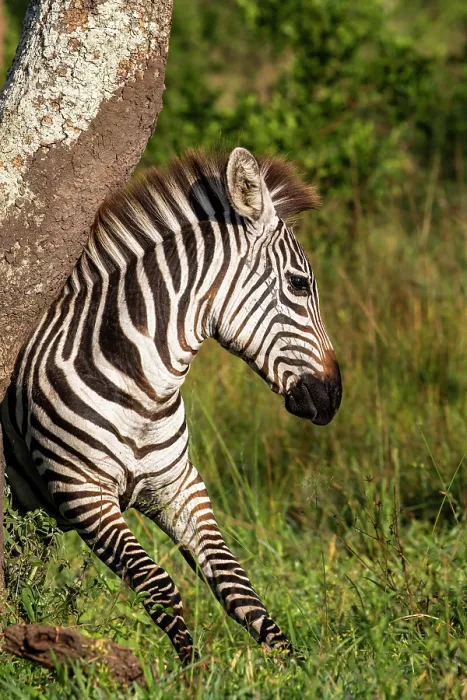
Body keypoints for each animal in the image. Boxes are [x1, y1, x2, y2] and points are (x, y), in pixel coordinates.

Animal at [1, 147, 342, 664]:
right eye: (300, 285)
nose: (334, 397)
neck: (144, 389)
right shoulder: (82, 492)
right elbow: (158, 585)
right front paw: (191, 670)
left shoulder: (178, 487)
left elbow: (235, 582)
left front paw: (292, 665)